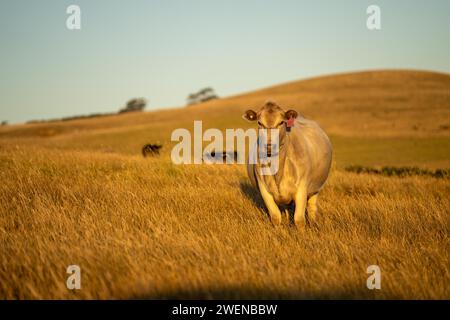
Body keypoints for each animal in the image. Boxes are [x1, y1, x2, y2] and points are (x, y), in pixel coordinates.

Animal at [243, 101, 334, 229]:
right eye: (259, 122)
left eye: (281, 122)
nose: (269, 146)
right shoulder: (264, 190)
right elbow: (275, 217)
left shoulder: (301, 188)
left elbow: (299, 219)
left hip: (316, 188)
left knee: (312, 208)